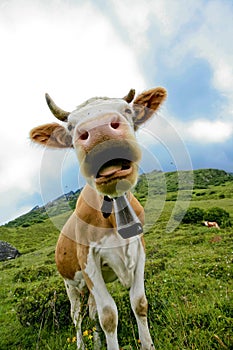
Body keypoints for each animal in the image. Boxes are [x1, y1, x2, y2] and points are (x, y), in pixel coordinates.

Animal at [29, 85, 167, 350]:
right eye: (71, 128)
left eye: (127, 111)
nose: (99, 130)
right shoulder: (88, 260)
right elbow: (108, 316)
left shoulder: (140, 249)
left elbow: (139, 303)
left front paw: (147, 344)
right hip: (71, 285)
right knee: (77, 316)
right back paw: (82, 344)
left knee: (91, 312)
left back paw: (95, 343)